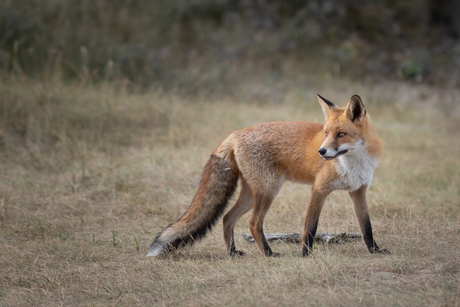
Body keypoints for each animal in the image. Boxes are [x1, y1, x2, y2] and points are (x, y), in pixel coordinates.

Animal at [147, 95, 388, 258]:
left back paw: (232, 252)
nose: (321, 152)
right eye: (326, 133)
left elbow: (366, 227)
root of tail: (235, 133)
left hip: (251, 194)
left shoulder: (359, 191)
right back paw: (269, 253)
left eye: (341, 134)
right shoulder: (319, 189)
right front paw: (305, 255)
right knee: (254, 224)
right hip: (268, 189)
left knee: (227, 218)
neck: (353, 162)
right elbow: (310, 228)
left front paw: (375, 250)